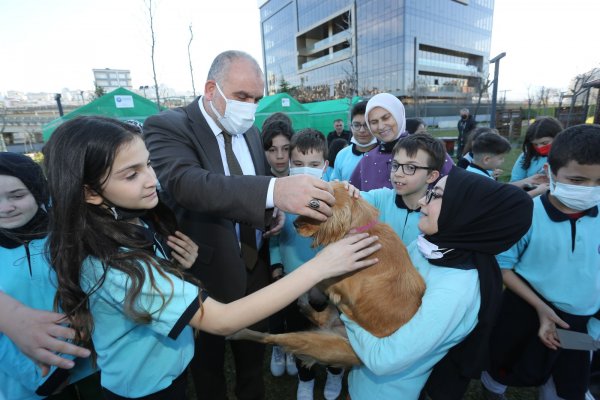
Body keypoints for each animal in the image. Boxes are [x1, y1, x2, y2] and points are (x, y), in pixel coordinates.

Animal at [227, 183, 424, 368]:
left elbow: (318, 275)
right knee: (315, 318)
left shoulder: (342, 283)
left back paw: (238, 332)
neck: (361, 231)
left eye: (317, 208)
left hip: (322, 344)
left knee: (272, 337)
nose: (295, 224)